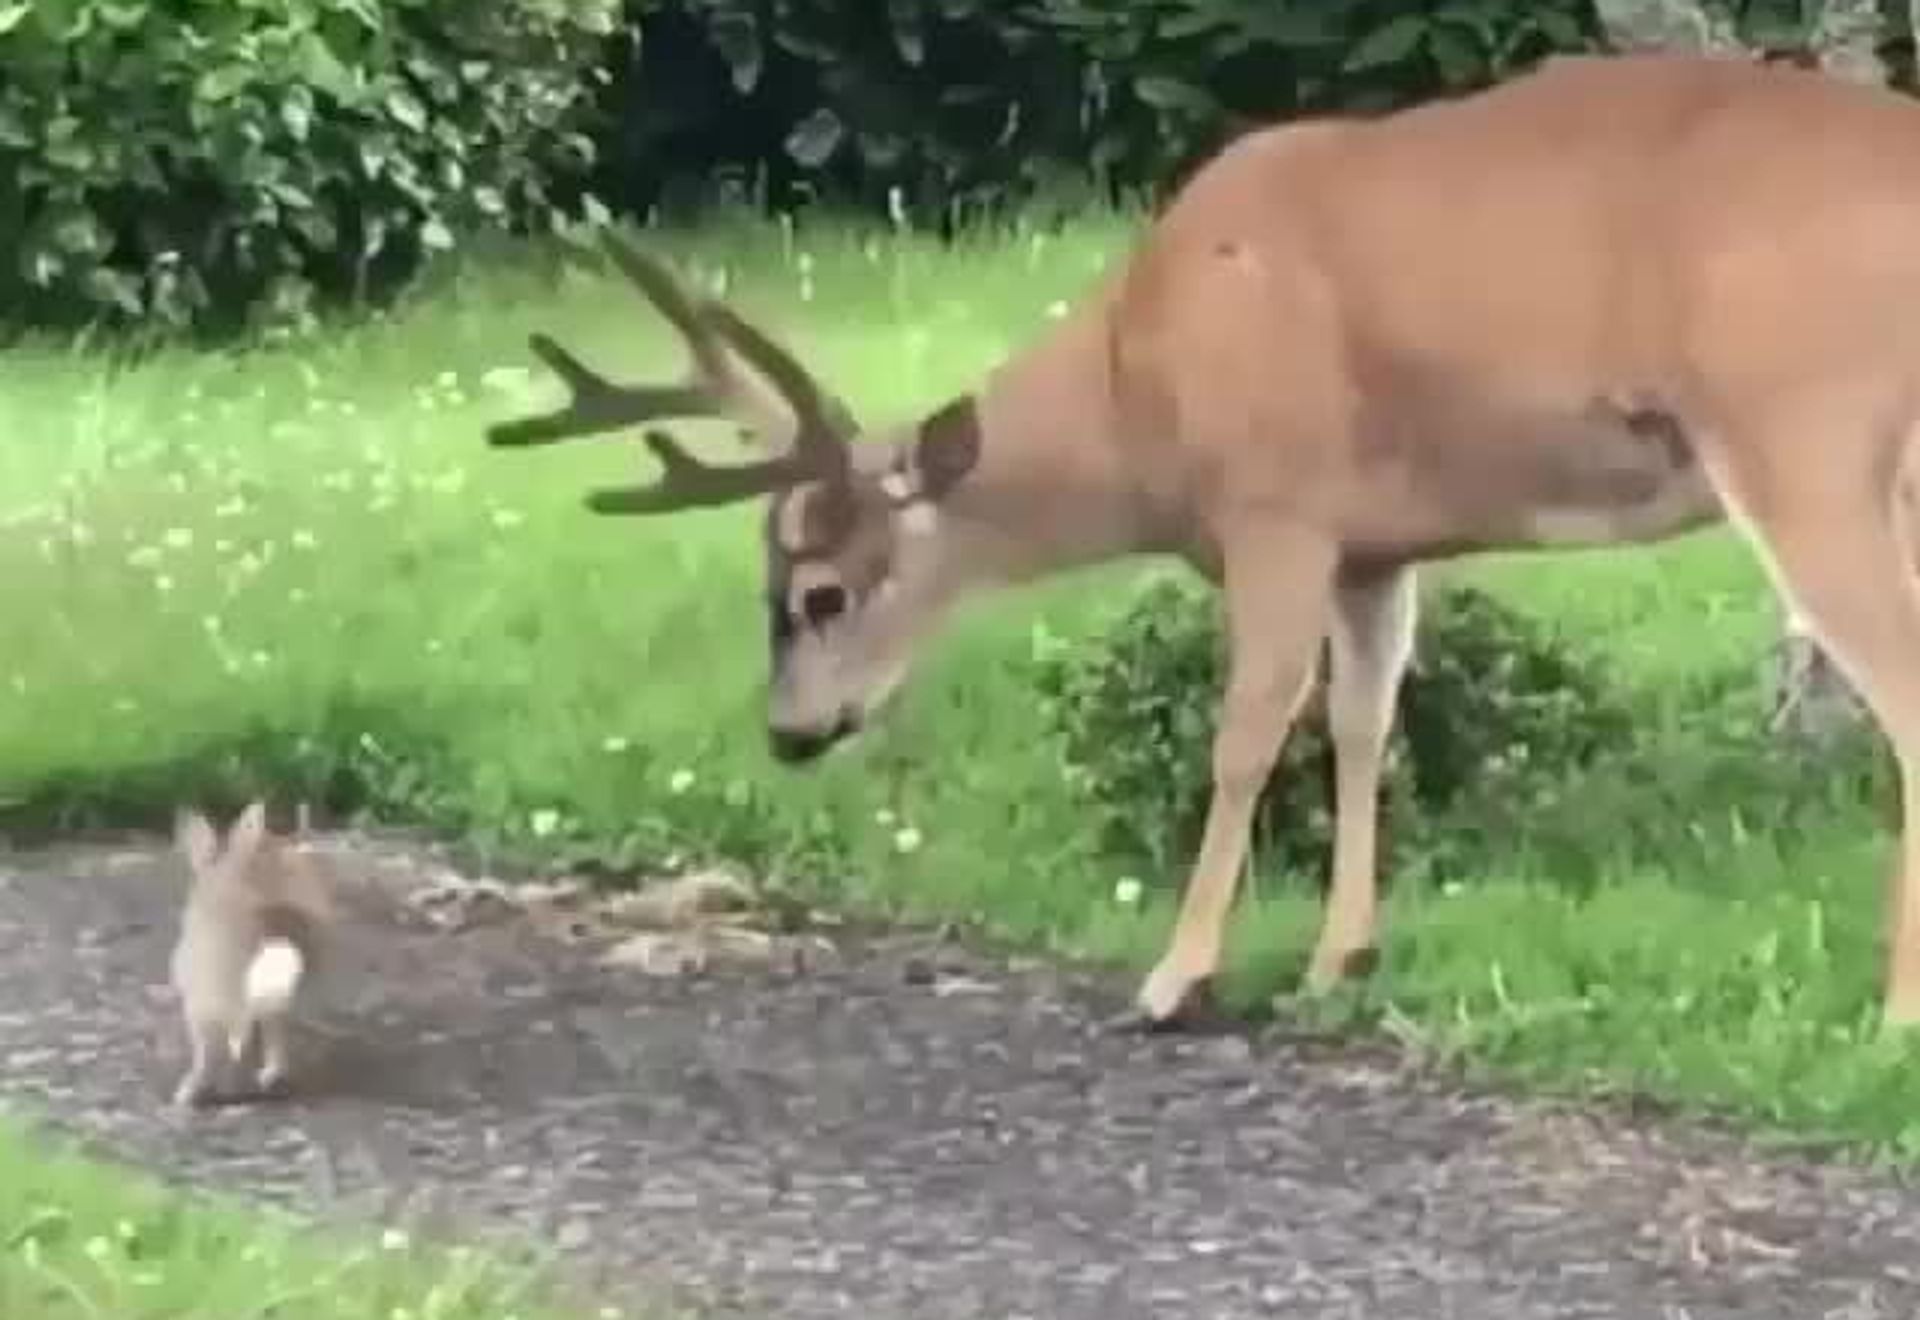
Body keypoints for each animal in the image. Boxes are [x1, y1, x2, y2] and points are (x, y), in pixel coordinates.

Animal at [168, 801, 335, 1108]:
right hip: (275, 1001)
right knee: (271, 1042)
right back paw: (268, 1081)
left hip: (208, 1009)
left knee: (219, 1051)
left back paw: (193, 1093)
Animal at [487, 49, 1920, 1032]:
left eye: (822, 593)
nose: (788, 734)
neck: (1143, 393)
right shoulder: (1373, 544)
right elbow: (1362, 721)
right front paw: (1342, 958)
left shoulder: (1274, 507)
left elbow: (1246, 734)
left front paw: (1176, 974)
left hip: (1803, 433)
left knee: (1901, 692)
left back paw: (1893, 1009)